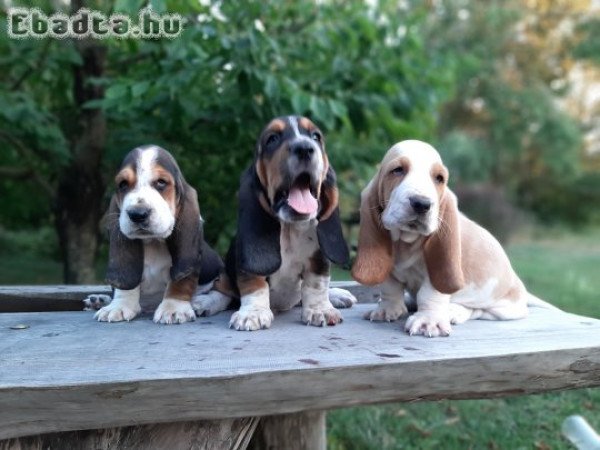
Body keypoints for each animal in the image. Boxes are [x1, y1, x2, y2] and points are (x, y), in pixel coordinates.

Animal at [85, 146, 223, 326]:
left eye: (161, 182)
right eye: (123, 184)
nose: (137, 214)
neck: (153, 242)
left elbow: (180, 282)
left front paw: (173, 308)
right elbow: (126, 287)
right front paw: (119, 306)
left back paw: (205, 303)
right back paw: (98, 300)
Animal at [192, 116, 356, 330]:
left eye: (316, 137)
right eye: (272, 139)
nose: (305, 148)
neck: (289, 229)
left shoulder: (318, 258)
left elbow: (317, 283)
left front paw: (320, 309)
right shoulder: (247, 264)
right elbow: (254, 283)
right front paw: (252, 313)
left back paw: (337, 295)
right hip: (225, 272)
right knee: (224, 290)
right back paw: (206, 302)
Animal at [352, 141, 552, 338]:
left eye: (439, 178)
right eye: (398, 170)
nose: (422, 203)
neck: (405, 242)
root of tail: (520, 287)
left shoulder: (436, 272)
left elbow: (430, 293)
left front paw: (428, 321)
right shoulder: (389, 268)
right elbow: (390, 287)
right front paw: (387, 309)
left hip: (504, 307)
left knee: (478, 311)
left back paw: (453, 311)